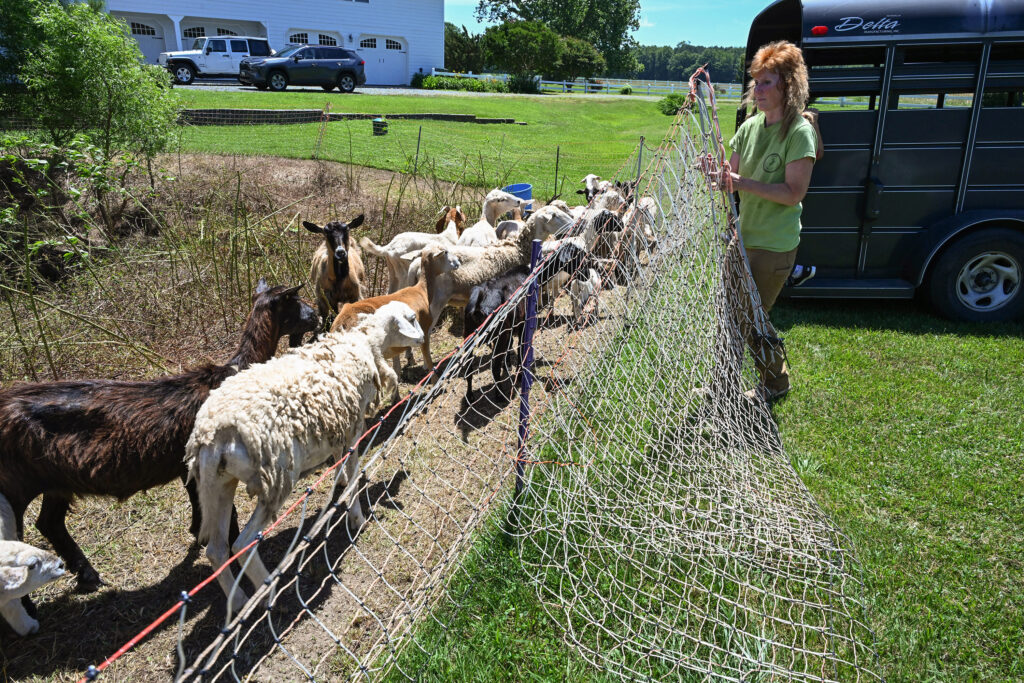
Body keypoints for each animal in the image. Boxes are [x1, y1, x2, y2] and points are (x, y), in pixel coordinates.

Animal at [0, 279, 318, 591]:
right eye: (293, 299)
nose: (315, 315)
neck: (233, 371)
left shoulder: (188, 466)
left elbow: (198, 502)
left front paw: (198, 533)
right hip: (15, 486)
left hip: (54, 481)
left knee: (49, 523)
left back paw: (88, 575)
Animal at [187, 302, 424, 612]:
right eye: (412, 319)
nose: (423, 339)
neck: (362, 343)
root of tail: (211, 434)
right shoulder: (354, 427)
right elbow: (353, 472)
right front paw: (356, 517)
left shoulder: (338, 422)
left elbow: (338, 460)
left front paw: (339, 484)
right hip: (276, 476)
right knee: (242, 545)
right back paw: (268, 595)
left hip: (217, 485)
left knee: (216, 550)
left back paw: (238, 601)